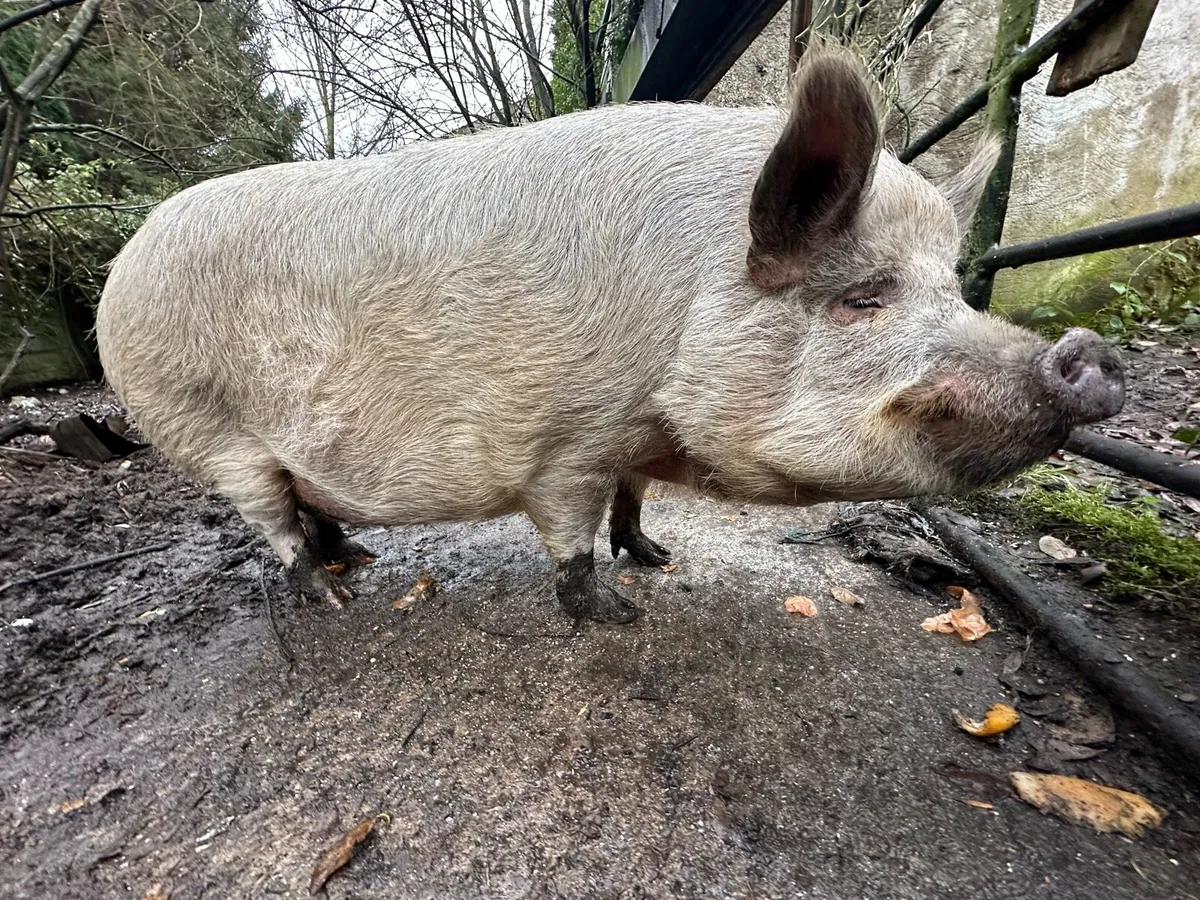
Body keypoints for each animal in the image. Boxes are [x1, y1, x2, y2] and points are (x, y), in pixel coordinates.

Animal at [94, 49, 1125, 624]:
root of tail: (120, 268)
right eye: (864, 297)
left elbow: (634, 504)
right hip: (208, 430)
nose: (1088, 356)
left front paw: (658, 558)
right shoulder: (566, 439)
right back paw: (336, 595)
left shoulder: (627, 437)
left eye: (952, 287)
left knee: (312, 505)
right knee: (273, 524)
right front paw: (620, 615)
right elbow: (571, 536)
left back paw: (359, 559)